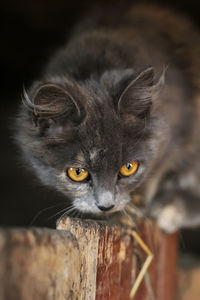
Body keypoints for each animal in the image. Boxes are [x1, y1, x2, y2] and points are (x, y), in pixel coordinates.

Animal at [15, 3, 200, 232]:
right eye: (77, 172)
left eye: (129, 167)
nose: (106, 206)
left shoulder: (179, 131)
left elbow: (157, 170)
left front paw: (133, 210)